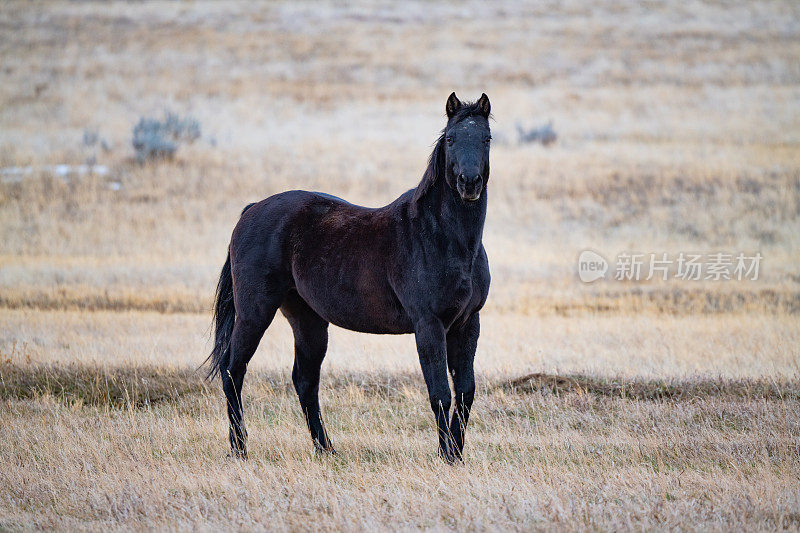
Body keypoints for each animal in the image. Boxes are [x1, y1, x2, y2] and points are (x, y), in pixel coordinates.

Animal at [205, 91, 494, 462]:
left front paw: (457, 455)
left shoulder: (467, 323)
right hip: (255, 312)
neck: (442, 237)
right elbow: (440, 393)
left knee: (305, 381)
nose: (469, 183)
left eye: (486, 138)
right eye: (450, 138)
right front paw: (446, 455)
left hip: (308, 320)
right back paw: (240, 449)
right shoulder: (429, 324)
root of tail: (252, 209)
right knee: (233, 370)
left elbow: (466, 391)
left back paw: (325, 448)